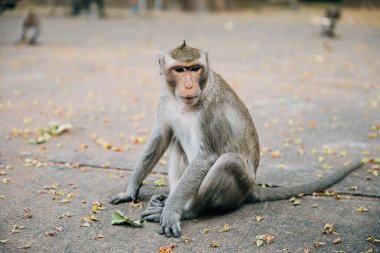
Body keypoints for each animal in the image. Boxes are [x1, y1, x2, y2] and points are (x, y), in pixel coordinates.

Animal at [110, 41, 362, 237]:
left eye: (195, 68)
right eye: (179, 69)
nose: (189, 85)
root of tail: (253, 187)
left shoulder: (210, 109)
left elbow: (207, 157)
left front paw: (172, 211)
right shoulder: (164, 97)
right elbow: (161, 137)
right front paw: (130, 189)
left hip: (239, 187)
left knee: (227, 161)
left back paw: (188, 210)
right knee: (178, 146)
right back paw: (167, 197)